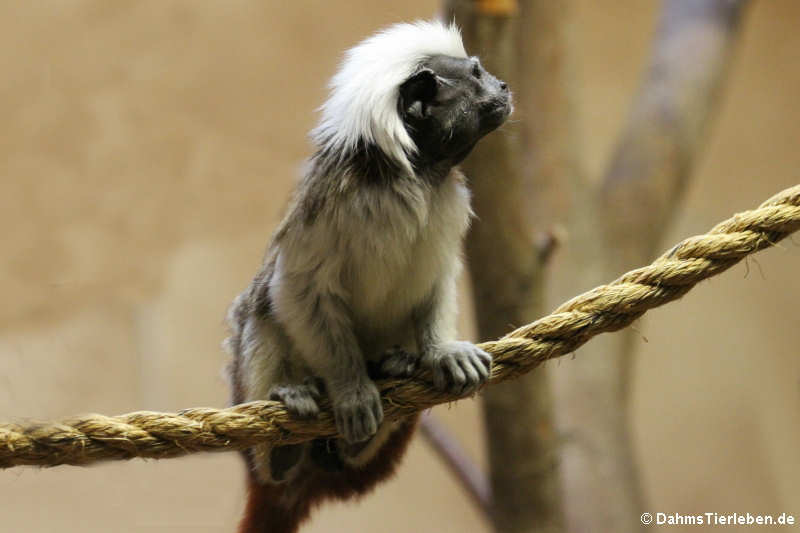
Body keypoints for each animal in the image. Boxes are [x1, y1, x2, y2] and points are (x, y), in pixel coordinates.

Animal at [225, 19, 512, 532]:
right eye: (477, 75)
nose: (504, 87)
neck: (414, 177)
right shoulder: (328, 207)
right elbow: (296, 289)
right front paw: (353, 391)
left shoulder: (449, 204)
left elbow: (439, 278)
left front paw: (443, 353)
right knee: (258, 311)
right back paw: (284, 443)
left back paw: (387, 380)